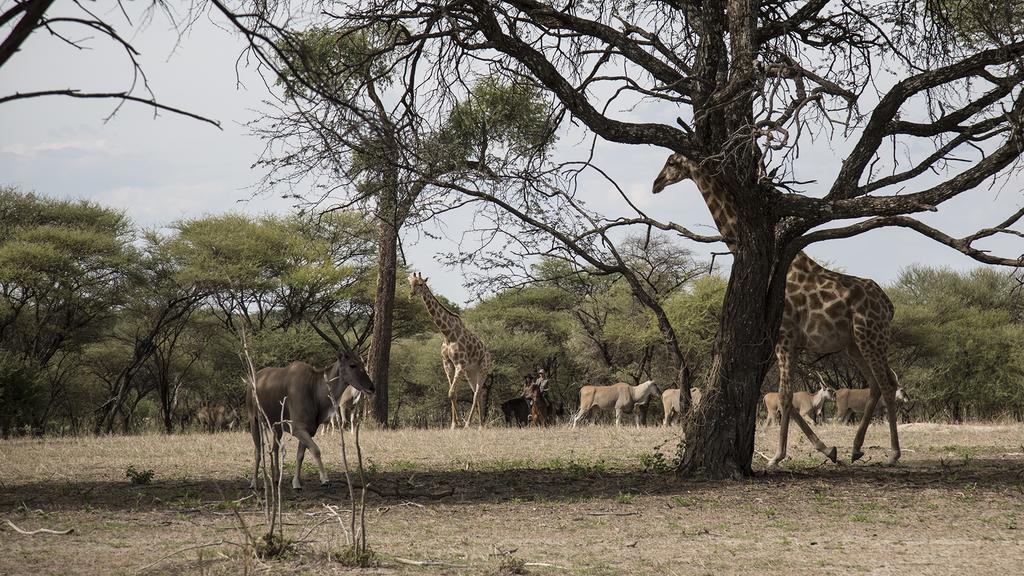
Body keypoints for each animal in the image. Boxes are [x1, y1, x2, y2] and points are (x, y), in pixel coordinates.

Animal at [407, 272, 491, 426]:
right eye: (411, 283)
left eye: (420, 284)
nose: (411, 294)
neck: (447, 334)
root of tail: (489, 353)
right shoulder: (448, 364)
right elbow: (453, 393)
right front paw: (453, 424)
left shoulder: (460, 364)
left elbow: (451, 393)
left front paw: (459, 424)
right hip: (471, 372)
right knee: (479, 393)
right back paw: (480, 425)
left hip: (483, 368)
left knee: (476, 393)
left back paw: (469, 424)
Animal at [651, 153, 901, 467]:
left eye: (672, 162)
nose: (656, 184)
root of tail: (888, 305)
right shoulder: (776, 341)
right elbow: (785, 399)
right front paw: (827, 449)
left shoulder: (785, 339)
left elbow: (785, 397)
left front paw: (776, 456)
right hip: (853, 343)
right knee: (877, 384)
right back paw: (856, 448)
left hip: (871, 336)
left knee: (888, 383)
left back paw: (893, 454)